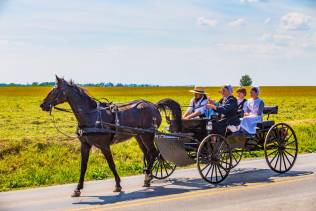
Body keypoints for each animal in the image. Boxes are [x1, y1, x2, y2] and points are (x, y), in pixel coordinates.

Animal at [40, 76, 183, 198]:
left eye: (54, 90)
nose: (42, 105)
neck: (91, 116)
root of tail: (153, 105)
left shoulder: (104, 145)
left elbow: (111, 164)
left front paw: (118, 185)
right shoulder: (85, 145)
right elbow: (83, 167)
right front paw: (78, 189)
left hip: (147, 135)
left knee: (154, 153)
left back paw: (148, 176)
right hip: (139, 136)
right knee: (148, 154)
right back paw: (147, 177)